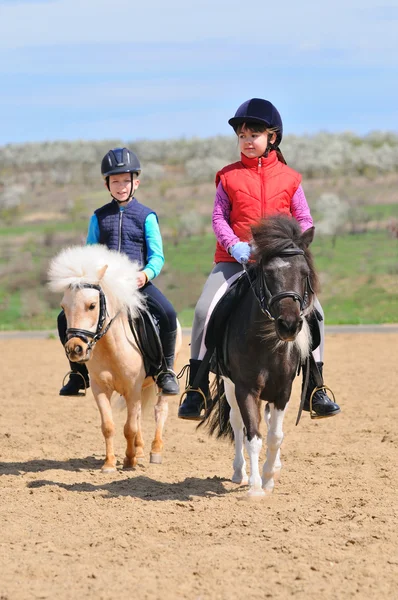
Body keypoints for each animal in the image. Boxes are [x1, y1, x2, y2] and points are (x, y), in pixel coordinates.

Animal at [47, 246, 182, 472]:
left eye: (92, 305)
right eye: (64, 307)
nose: (75, 349)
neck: (111, 347)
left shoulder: (132, 389)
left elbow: (129, 427)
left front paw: (128, 461)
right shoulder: (101, 388)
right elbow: (109, 426)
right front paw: (110, 464)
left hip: (161, 380)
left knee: (159, 410)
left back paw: (155, 451)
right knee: (139, 415)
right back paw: (140, 451)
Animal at [201, 214, 318, 496]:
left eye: (304, 273)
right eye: (268, 273)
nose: (289, 325)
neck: (267, 344)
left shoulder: (283, 390)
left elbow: (276, 436)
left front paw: (268, 478)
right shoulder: (246, 388)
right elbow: (252, 435)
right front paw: (255, 487)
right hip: (230, 386)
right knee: (237, 424)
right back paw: (239, 473)